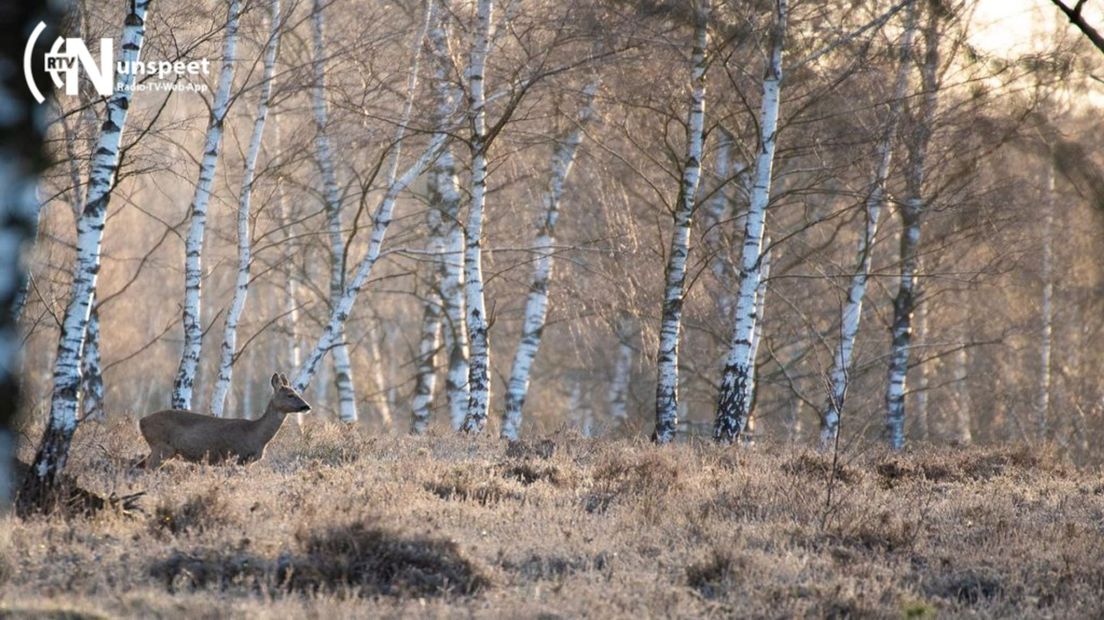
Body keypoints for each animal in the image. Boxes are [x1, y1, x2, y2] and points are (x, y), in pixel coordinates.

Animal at [140, 368, 311, 465]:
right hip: (161, 447)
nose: (307, 406)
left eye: (297, 392)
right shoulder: (239, 456)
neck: (257, 435)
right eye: (290, 395)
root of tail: (141, 421)